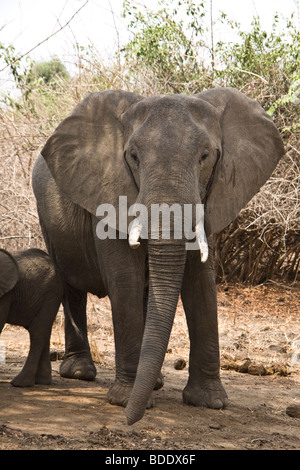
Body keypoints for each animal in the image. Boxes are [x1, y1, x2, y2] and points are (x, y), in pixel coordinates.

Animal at [0, 248, 62, 388]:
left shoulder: (5, 295)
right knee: (45, 331)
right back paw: (42, 381)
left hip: (52, 293)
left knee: (37, 331)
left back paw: (20, 383)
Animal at [31, 86, 284, 424]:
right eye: (134, 157)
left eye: (205, 156)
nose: (129, 422)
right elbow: (125, 279)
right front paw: (125, 400)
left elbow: (201, 283)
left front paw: (210, 402)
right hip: (47, 217)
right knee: (70, 284)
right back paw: (81, 373)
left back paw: (155, 382)